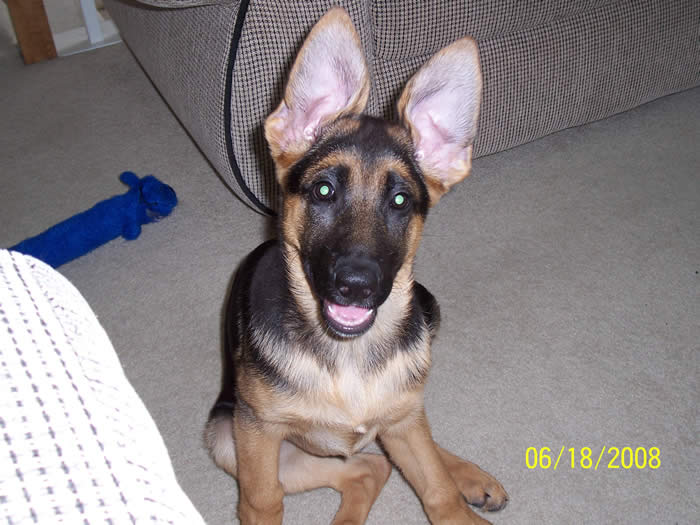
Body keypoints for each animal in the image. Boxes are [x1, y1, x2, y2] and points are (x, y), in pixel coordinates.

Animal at [205, 8, 508, 524]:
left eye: (401, 201)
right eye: (324, 190)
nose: (356, 286)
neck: (347, 357)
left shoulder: (404, 420)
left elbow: (438, 490)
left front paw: (457, 497)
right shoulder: (257, 432)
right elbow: (262, 499)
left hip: (401, 399)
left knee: (391, 453)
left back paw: (470, 476)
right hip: (230, 438)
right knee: (368, 468)